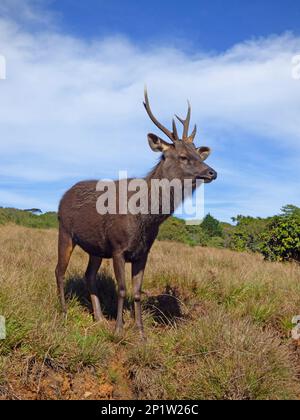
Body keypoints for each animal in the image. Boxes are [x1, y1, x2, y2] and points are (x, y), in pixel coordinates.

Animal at [55, 88, 216, 338]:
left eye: (199, 155)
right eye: (182, 156)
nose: (212, 172)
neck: (146, 218)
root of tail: (64, 196)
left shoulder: (143, 252)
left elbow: (137, 292)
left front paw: (140, 332)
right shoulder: (118, 247)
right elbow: (122, 289)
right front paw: (119, 330)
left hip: (96, 248)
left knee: (88, 275)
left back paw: (99, 318)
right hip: (65, 231)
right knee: (59, 271)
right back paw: (63, 314)